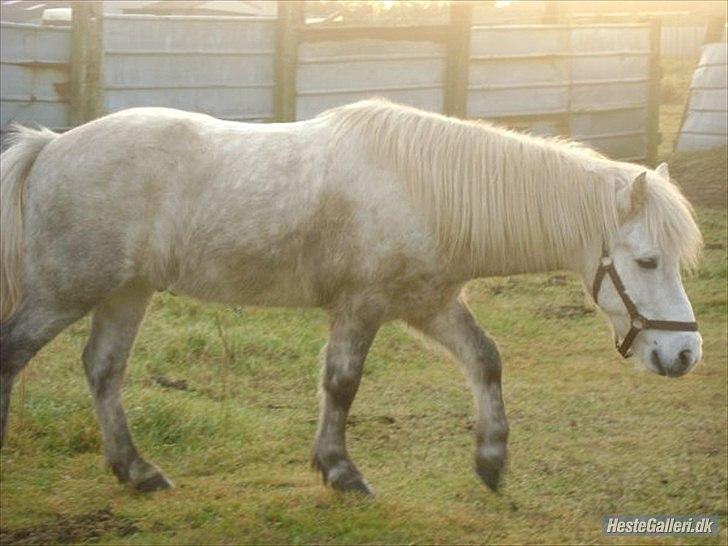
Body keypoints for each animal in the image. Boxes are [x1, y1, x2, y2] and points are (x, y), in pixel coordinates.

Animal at [1, 99, 704, 492]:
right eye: (647, 260)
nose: (685, 356)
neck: (425, 189)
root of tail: (51, 146)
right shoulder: (361, 307)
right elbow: (342, 384)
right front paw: (340, 472)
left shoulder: (428, 304)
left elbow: (486, 360)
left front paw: (491, 460)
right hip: (65, 292)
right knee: (15, 353)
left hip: (127, 291)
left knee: (104, 370)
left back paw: (138, 472)